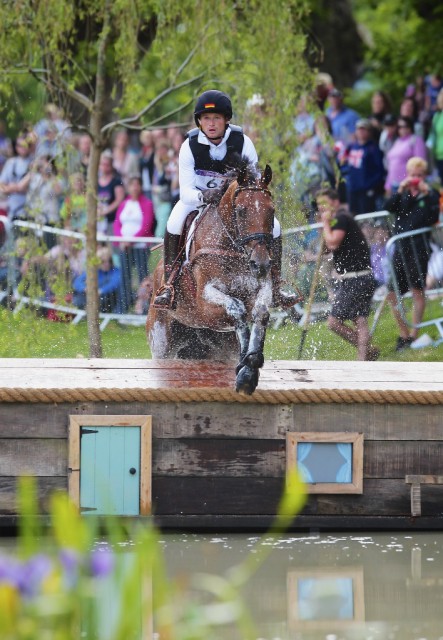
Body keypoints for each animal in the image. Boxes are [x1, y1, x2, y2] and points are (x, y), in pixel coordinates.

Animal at [147, 160, 276, 396]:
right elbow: (237, 308)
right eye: (241, 211)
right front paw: (245, 371)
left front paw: (250, 365)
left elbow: (260, 312)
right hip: (161, 344)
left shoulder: (262, 288)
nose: (260, 264)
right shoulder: (205, 304)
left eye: (272, 211)